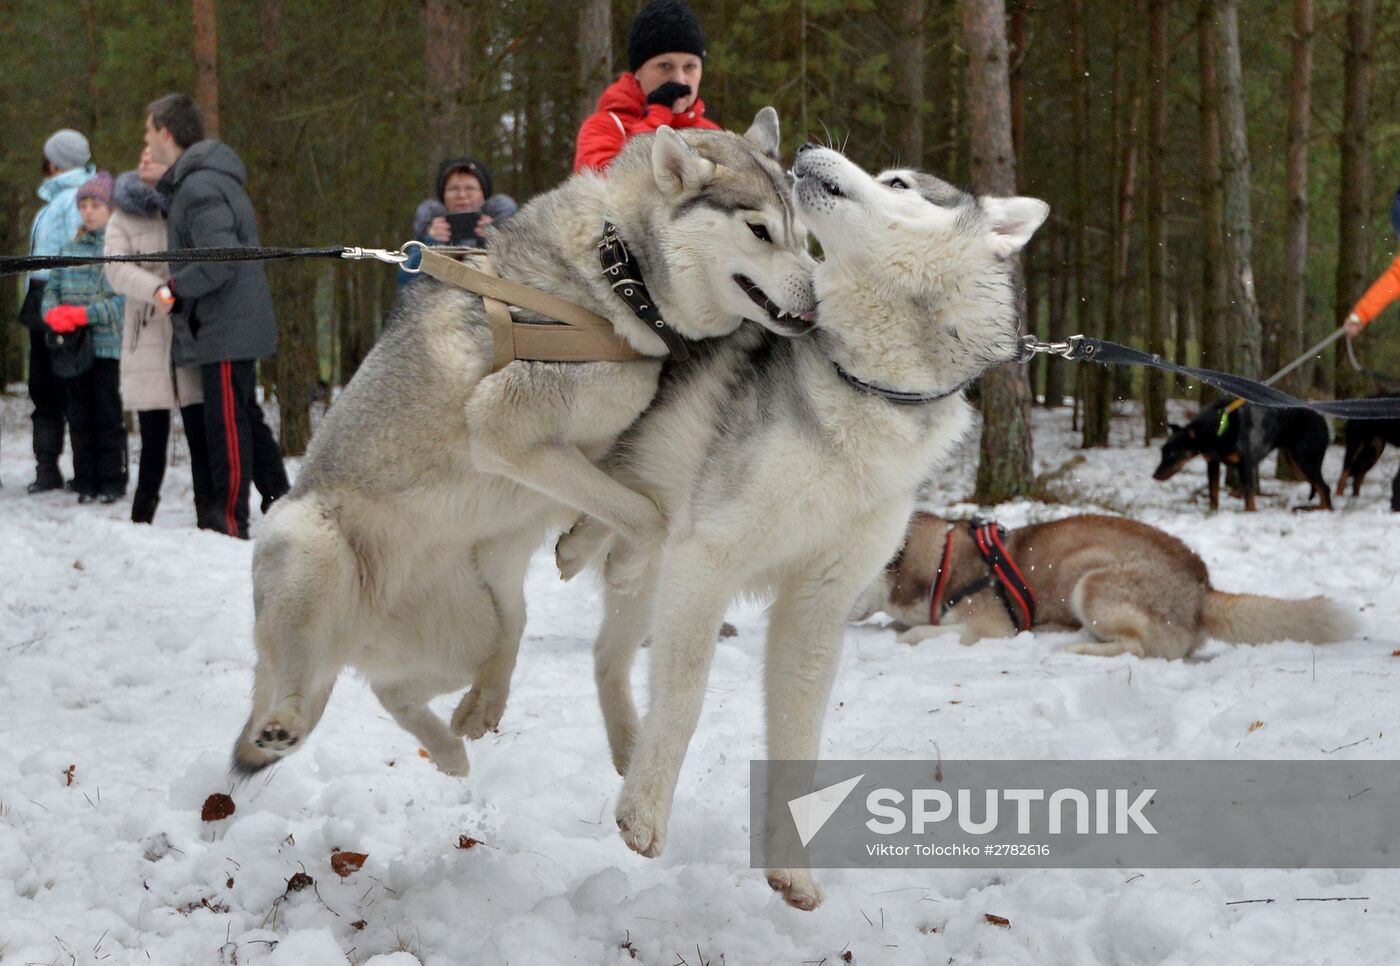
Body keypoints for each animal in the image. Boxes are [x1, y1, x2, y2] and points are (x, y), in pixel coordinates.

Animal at [1153, 394, 1327, 506]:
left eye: (1173, 453)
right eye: (1162, 451)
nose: (1154, 476)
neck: (1218, 427)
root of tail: (1322, 420)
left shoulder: (1246, 465)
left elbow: (1249, 499)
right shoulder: (1213, 463)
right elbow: (1213, 494)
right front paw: (1212, 513)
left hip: (1305, 459)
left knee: (1325, 488)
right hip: (1296, 462)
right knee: (1319, 487)